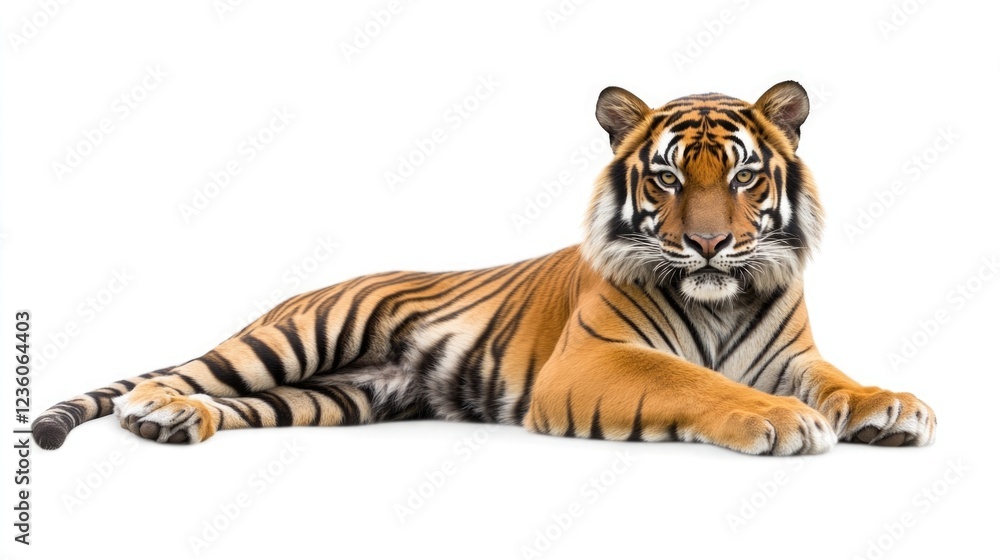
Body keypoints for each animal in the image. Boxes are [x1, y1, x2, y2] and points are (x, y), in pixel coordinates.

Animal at [33, 81, 936, 456]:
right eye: (670, 178)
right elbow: (694, 381)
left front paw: (891, 406)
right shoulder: (593, 361)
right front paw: (781, 421)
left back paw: (178, 424)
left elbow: (840, 381)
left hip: (331, 398)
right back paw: (159, 407)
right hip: (292, 340)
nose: (711, 246)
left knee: (235, 404)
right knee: (185, 373)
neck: (719, 298)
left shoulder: (793, 356)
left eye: (746, 178)